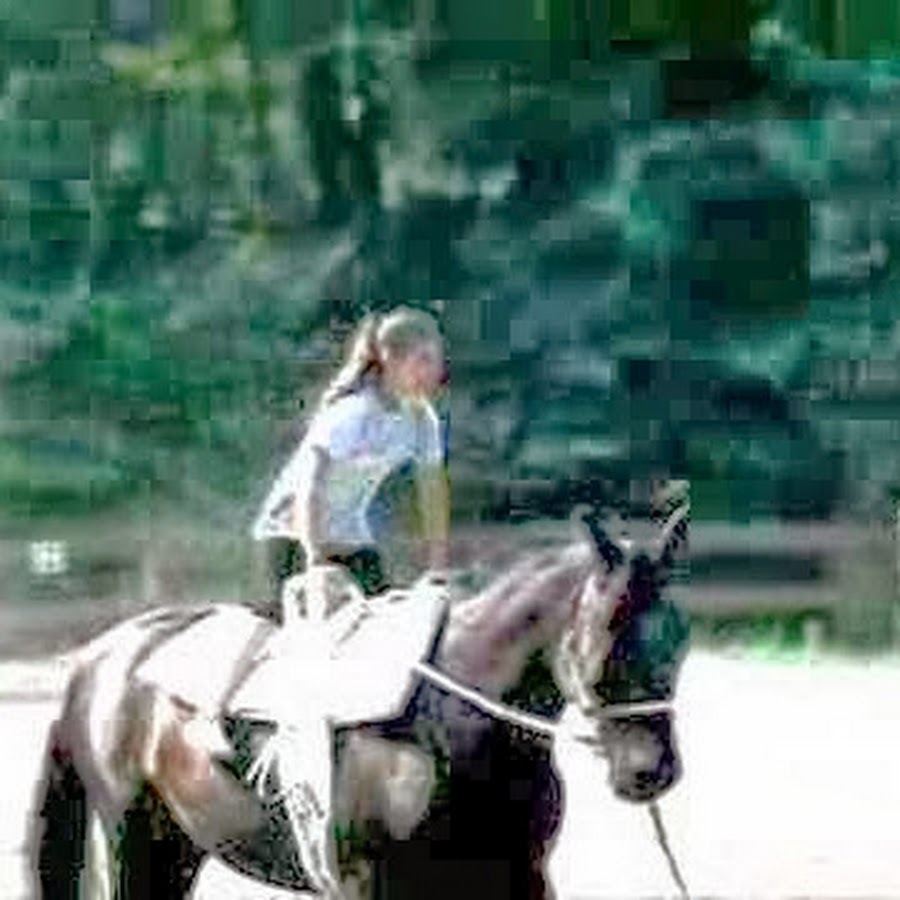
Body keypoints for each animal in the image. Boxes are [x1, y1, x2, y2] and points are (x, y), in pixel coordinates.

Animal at [29, 500, 690, 899]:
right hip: (131, 837)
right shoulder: (366, 881)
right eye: (606, 630)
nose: (650, 773)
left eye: (677, 638)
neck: (455, 725)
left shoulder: (521, 873)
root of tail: (97, 659)